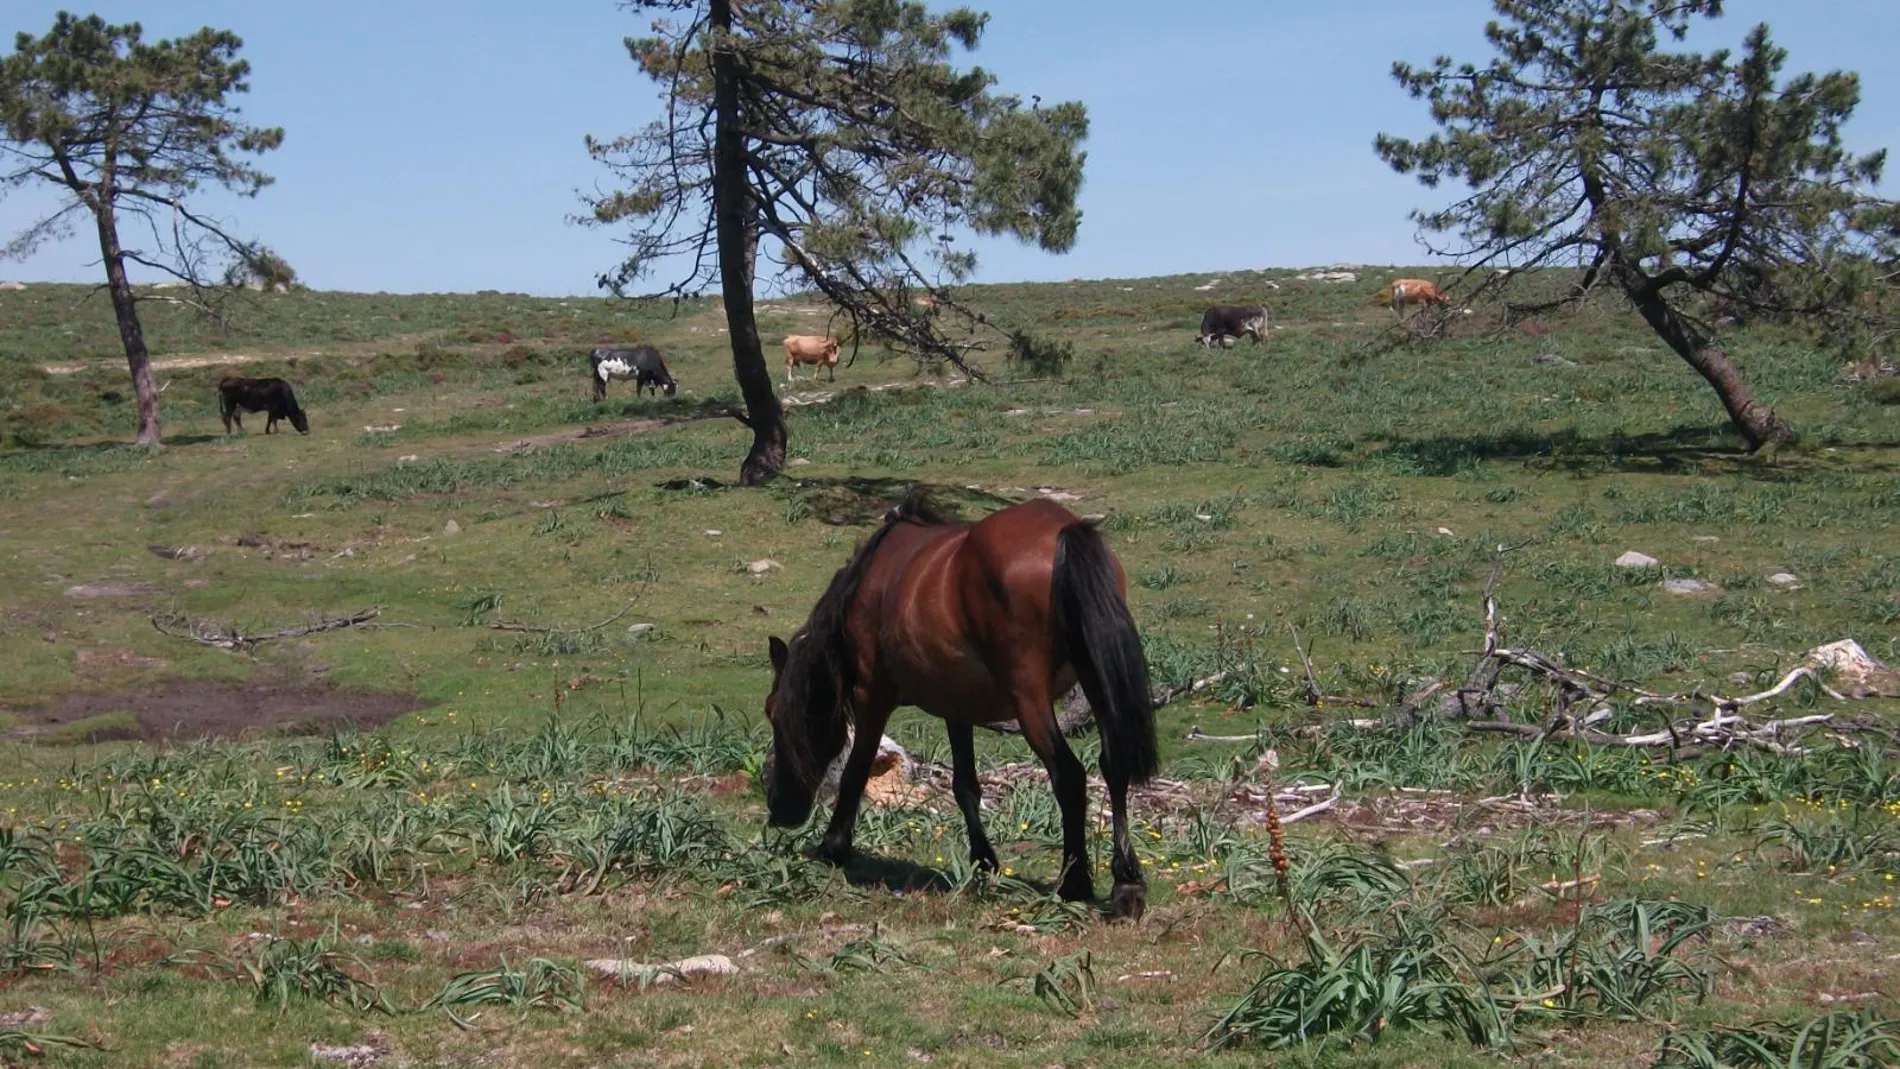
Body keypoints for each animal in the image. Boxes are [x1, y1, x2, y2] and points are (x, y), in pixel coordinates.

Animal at [760, 493, 1155, 918]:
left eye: (774, 714)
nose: (779, 810)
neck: (866, 582)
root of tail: (1064, 531)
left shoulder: (872, 697)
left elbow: (856, 770)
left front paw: (833, 845)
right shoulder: (956, 706)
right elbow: (965, 785)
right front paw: (983, 860)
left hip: (1030, 698)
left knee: (1068, 775)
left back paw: (1075, 881)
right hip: (1094, 676)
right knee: (1113, 764)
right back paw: (1126, 882)